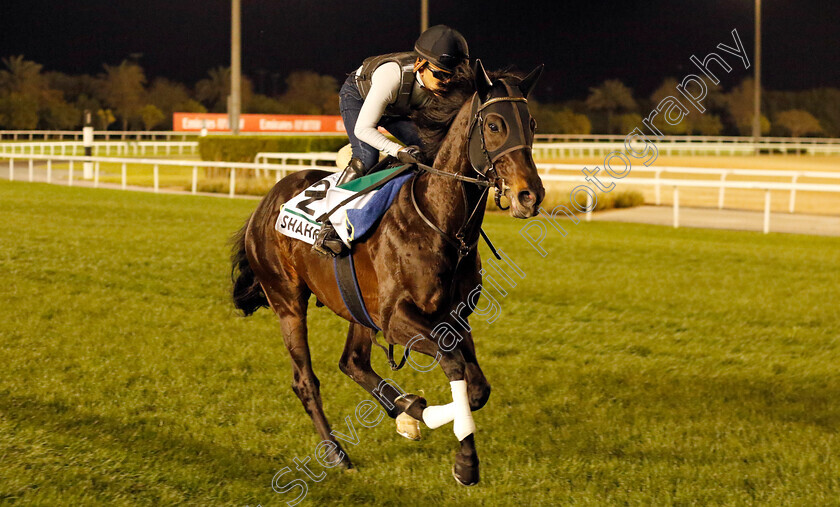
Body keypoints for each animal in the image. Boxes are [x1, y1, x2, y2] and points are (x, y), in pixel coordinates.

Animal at [230, 60, 544, 488]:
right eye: (495, 125)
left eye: (530, 122)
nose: (531, 195)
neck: (438, 221)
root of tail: (263, 204)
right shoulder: (396, 319)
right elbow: (455, 366)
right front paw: (464, 460)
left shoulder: (453, 317)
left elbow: (477, 388)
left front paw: (425, 417)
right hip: (288, 302)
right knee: (305, 381)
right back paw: (337, 452)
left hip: (359, 307)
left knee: (353, 362)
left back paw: (406, 412)